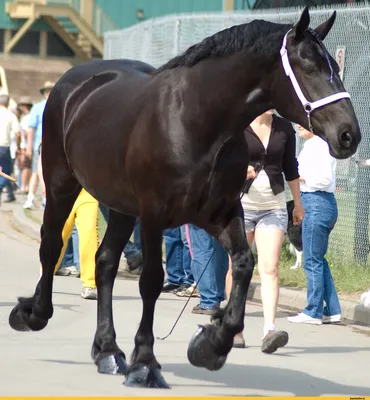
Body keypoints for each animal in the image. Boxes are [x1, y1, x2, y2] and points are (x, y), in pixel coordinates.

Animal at [8, 6, 362, 388]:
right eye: (309, 67)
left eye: (335, 66)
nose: (349, 135)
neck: (196, 122)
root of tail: (73, 81)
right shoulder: (153, 215)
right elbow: (151, 281)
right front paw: (146, 363)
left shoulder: (221, 213)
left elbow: (243, 265)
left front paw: (212, 342)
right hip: (62, 184)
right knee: (51, 246)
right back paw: (34, 314)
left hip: (120, 206)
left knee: (104, 263)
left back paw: (108, 351)